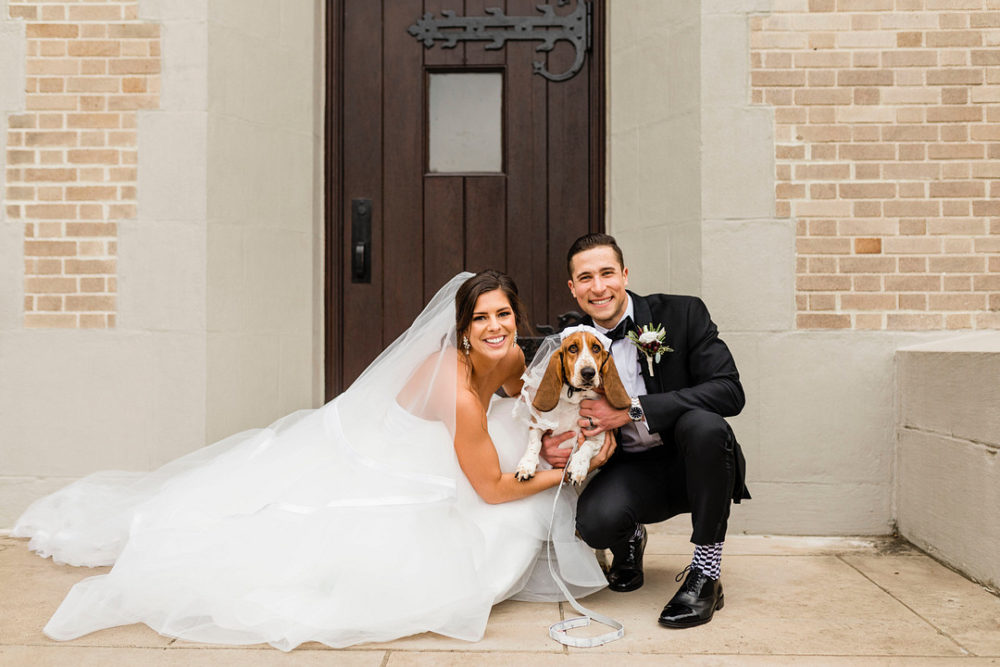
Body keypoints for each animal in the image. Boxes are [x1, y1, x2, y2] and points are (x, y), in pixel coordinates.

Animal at [520, 328, 628, 486]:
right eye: (572, 348)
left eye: (596, 348)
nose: (588, 372)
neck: (575, 399)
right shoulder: (537, 424)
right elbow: (534, 443)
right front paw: (526, 465)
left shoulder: (599, 439)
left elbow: (587, 446)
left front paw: (578, 468)